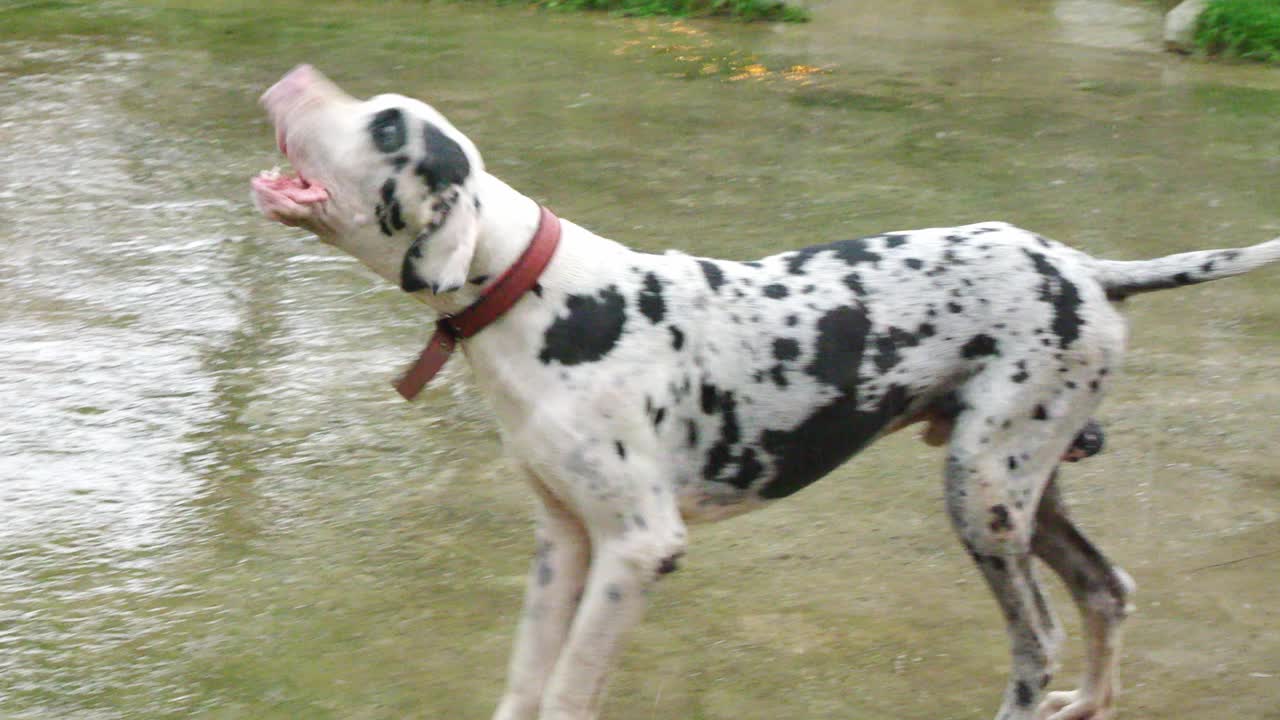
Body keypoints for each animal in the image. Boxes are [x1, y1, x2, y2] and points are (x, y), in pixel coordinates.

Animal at [252, 65, 1280, 717]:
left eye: (386, 126)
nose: (292, 78)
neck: (546, 298)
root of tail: (1087, 268)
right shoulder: (566, 541)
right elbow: (525, 686)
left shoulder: (637, 550)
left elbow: (569, 694)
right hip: (1024, 485)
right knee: (1107, 591)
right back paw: (1091, 706)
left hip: (984, 499)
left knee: (1039, 640)